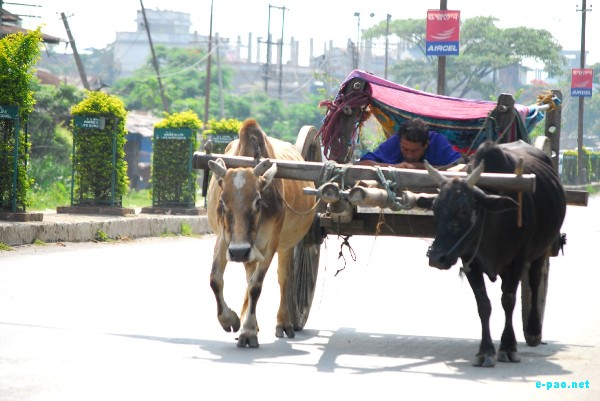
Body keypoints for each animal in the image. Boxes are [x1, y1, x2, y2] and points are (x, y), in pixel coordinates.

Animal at [206, 118, 317, 348]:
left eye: (258, 200)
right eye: (222, 201)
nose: (239, 252)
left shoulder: (270, 244)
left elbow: (256, 286)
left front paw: (248, 332)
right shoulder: (224, 239)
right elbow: (215, 279)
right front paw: (230, 320)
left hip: (287, 245)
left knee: (283, 278)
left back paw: (284, 323)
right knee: (249, 274)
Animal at [423, 139, 566, 367]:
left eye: (464, 210)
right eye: (435, 209)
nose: (437, 258)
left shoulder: (518, 261)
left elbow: (508, 300)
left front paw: (508, 347)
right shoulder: (470, 262)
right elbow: (484, 305)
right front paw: (486, 351)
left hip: (540, 251)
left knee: (536, 281)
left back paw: (534, 330)